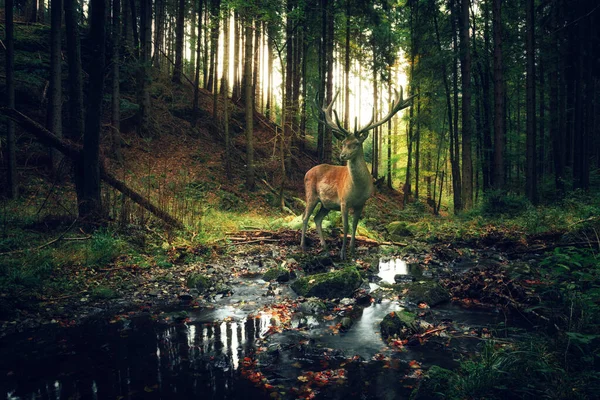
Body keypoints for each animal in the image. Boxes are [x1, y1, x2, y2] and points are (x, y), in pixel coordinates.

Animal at [300, 86, 418, 260]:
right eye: (343, 142)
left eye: (356, 143)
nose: (342, 155)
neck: (358, 189)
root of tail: (306, 172)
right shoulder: (343, 201)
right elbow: (346, 226)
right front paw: (342, 253)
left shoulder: (361, 203)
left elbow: (354, 226)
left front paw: (353, 250)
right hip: (311, 194)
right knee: (305, 216)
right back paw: (303, 245)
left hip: (326, 204)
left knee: (317, 218)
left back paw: (325, 247)